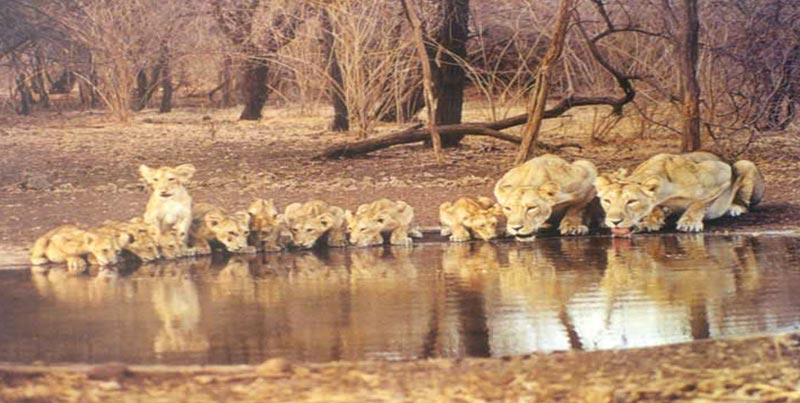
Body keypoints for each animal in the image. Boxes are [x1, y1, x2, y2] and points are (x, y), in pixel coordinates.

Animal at [594, 152, 765, 236]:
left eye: (631, 201)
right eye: (607, 201)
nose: (614, 222)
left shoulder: (721, 171)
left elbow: (700, 201)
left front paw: (689, 222)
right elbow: (655, 208)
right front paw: (651, 221)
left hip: (743, 164)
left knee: (745, 204)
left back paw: (733, 208)